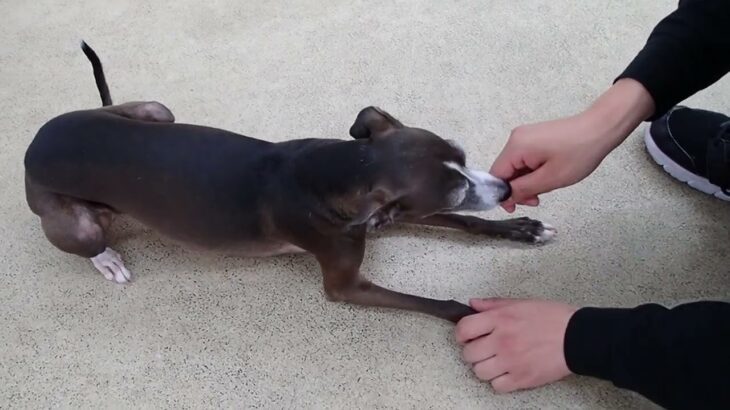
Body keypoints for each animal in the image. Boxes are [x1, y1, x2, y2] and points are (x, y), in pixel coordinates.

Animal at [25, 42, 556, 324]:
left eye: (462, 157)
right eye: (456, 188)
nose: (505, 190)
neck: (338, 169)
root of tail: (36, 142)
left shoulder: (391, 215)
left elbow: (466, 224)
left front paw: (522, 230)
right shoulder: (346, 284)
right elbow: (439, 302)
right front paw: (489, 320)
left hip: (157, 111)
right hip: (73, 221)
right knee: (89, 242)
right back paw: (108, 259)